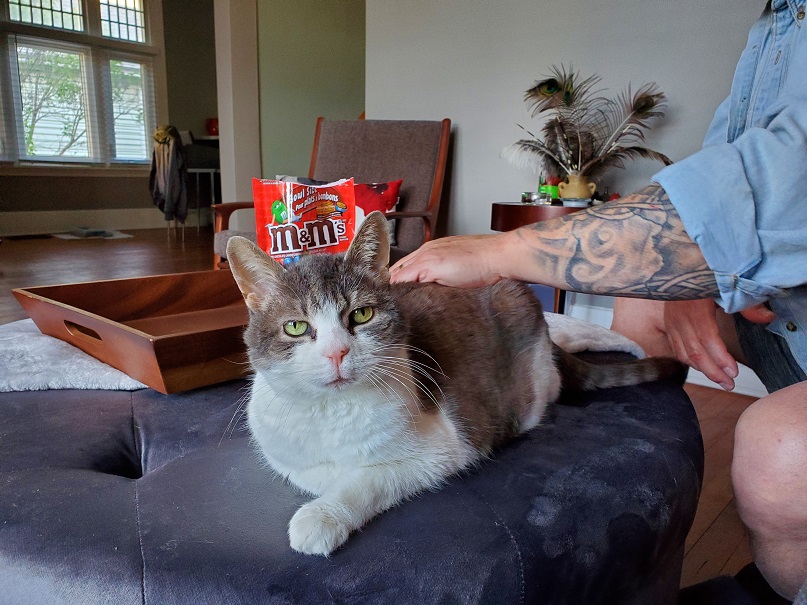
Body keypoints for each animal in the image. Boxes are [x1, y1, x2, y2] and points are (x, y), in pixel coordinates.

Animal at [227, 210, 688, 556]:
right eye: (295, 326)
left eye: (361, 315)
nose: (337, 353)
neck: (331, 412)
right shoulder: (287, 455)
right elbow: (313, 474)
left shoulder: (440, 451)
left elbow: (367, 480)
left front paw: (321, 517)